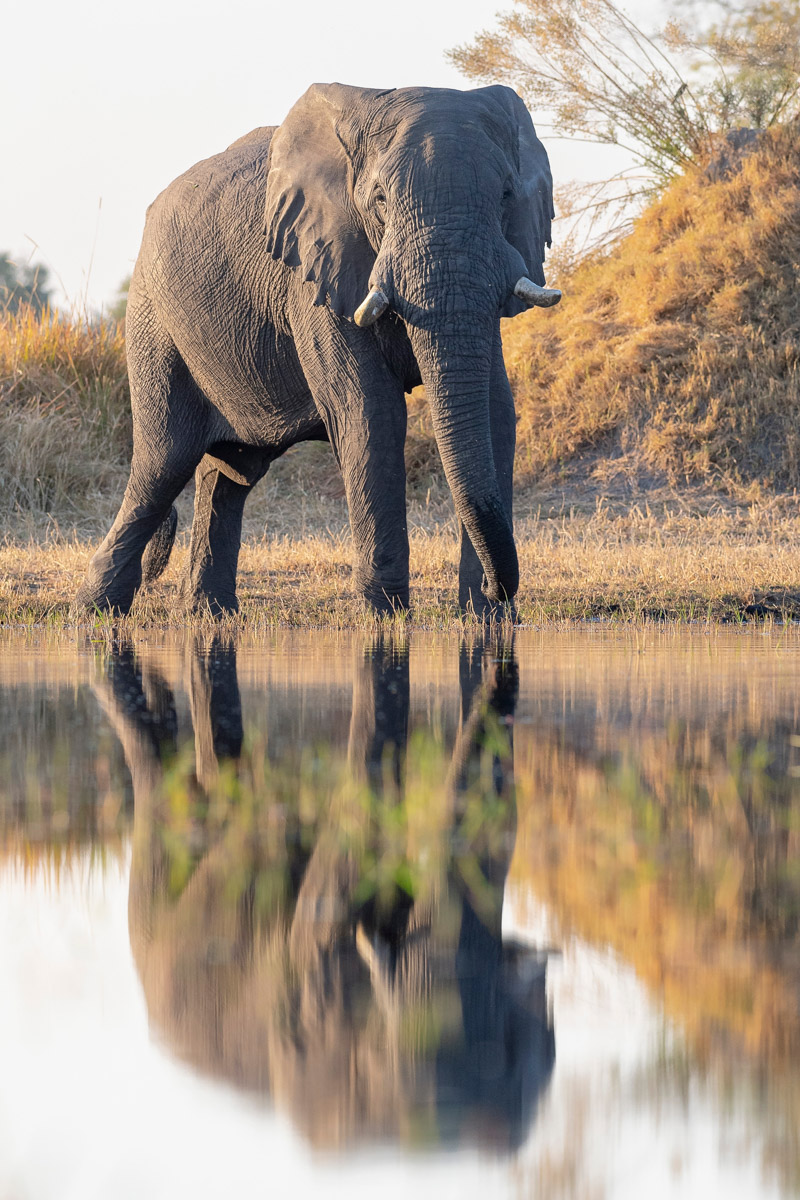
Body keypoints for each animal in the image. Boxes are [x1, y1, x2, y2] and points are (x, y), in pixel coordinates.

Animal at [76, 82, 556, 619]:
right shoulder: (314, 272)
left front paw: (487, 620)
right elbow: (370, 412)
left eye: (507, 196)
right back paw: (96, 610)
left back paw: (209, 613)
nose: (498, 588)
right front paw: (385, 616)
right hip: (154, 318)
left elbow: (496, 409)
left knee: (230, 471)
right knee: (162, 462)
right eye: (380, 200)